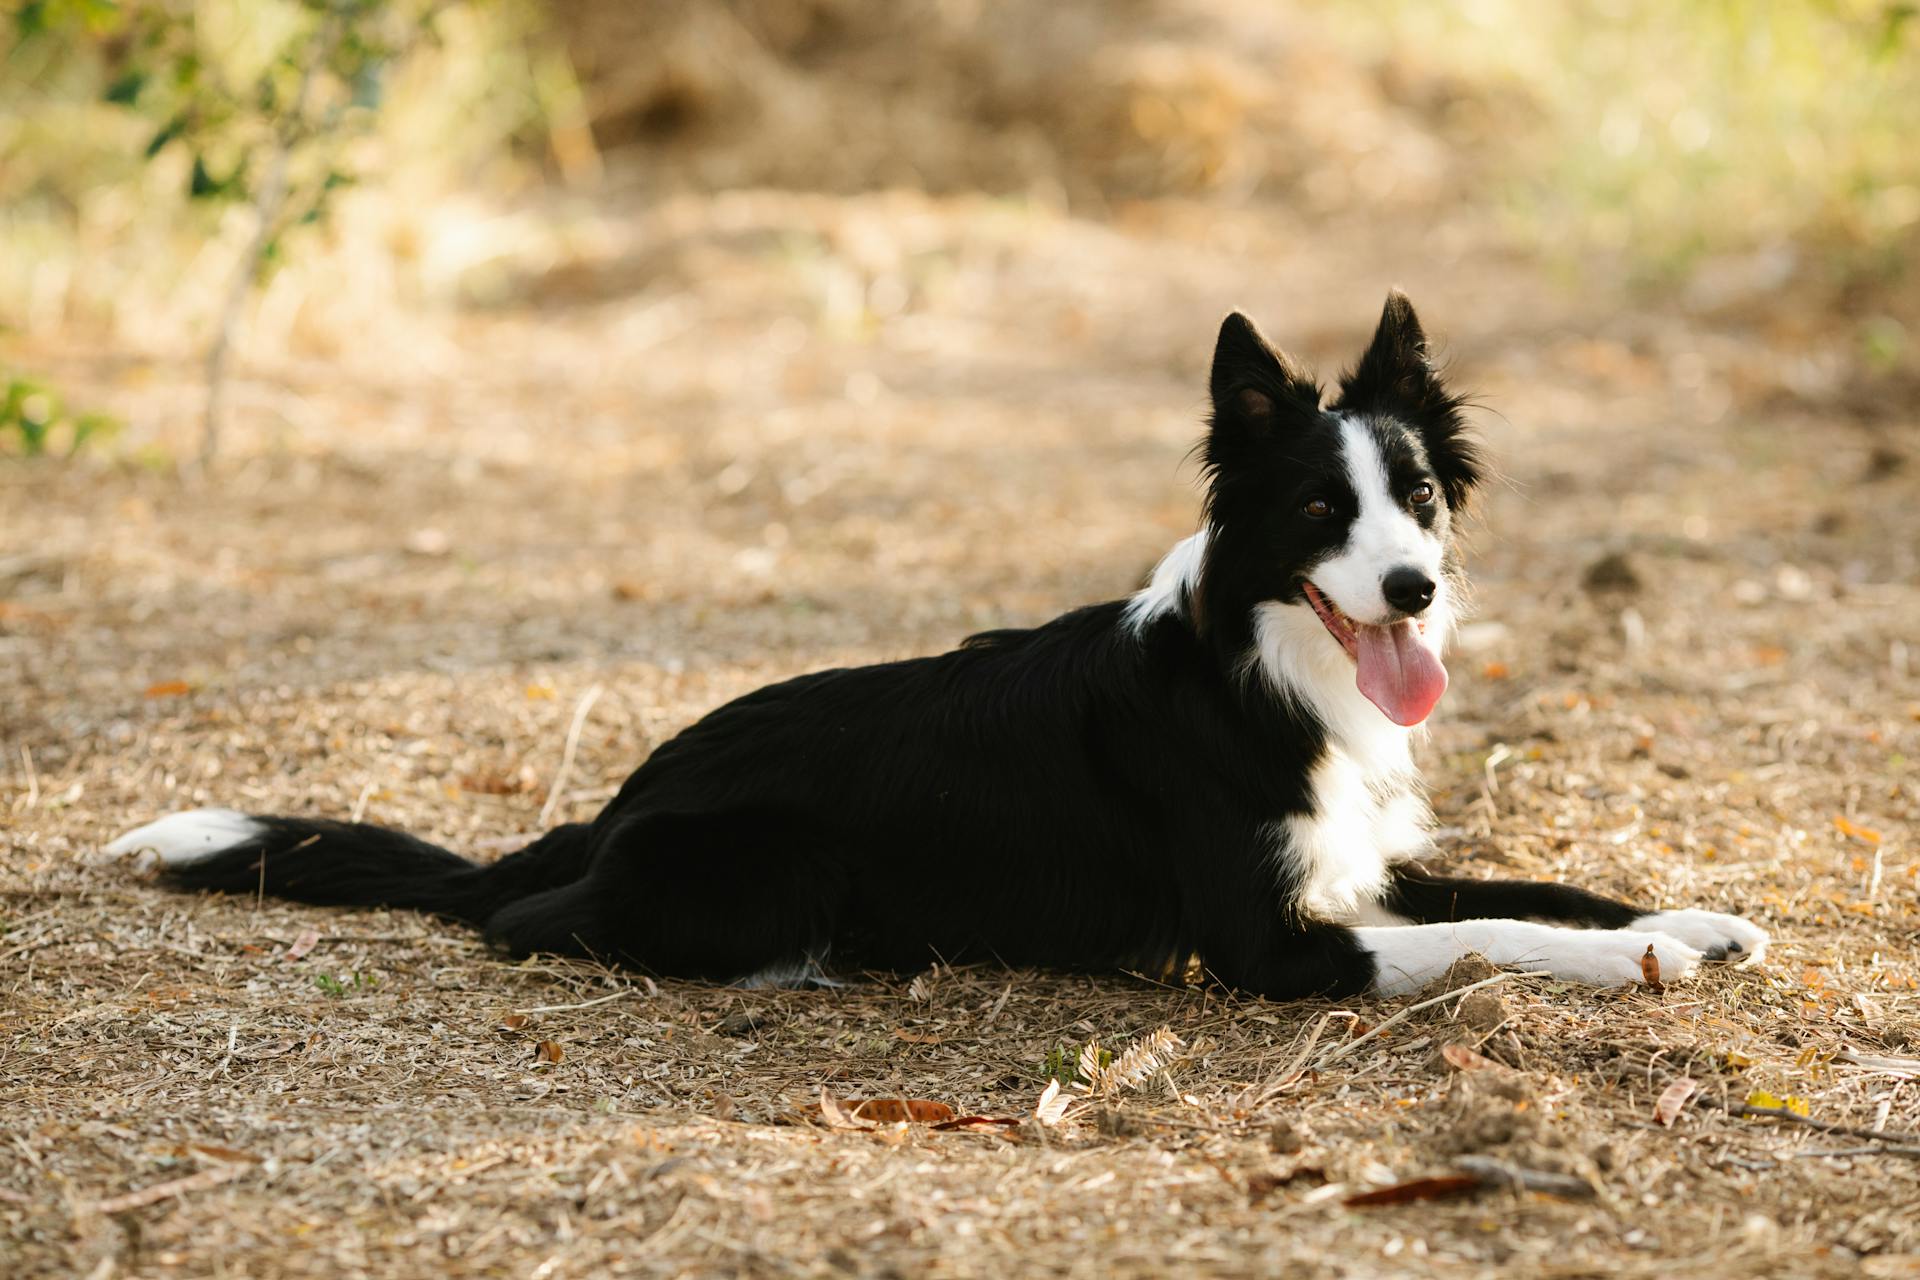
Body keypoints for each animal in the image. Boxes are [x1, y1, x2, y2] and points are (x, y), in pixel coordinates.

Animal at [105, 295, 1766, 997]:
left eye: (1415, 496)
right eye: (1316, 512)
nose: (1413, 589)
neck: (1257, 671)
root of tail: (616, 799)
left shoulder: (1356, 858)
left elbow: (1536, 885)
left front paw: (1687, 919)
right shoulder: (1265, 942)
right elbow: (1497, 932)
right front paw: (1634, 965)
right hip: (775, 860)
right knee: (531, 926)